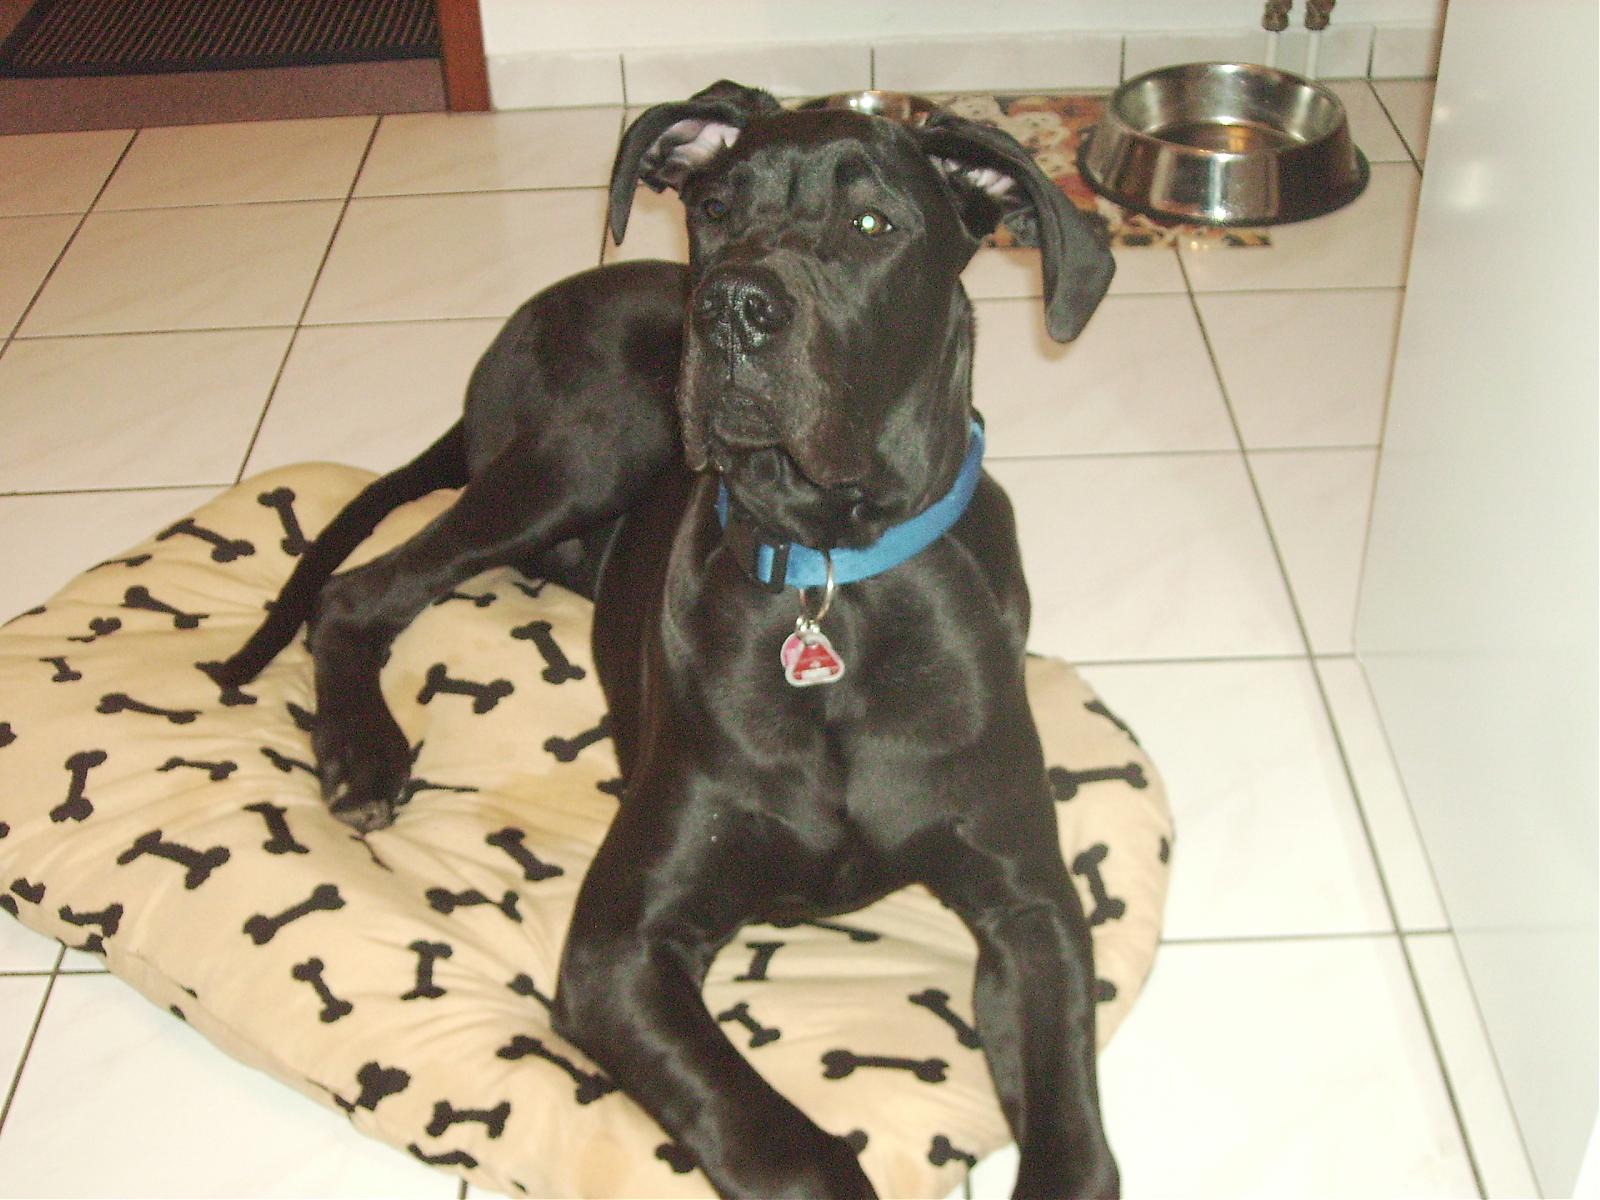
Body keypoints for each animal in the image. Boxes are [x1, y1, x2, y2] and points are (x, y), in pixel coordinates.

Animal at [220, 80, 1118, 1199]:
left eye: (874, 226)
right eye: (718, 207)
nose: (730, 307)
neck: (829, 573)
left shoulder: (1033, 910)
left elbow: (1073, 1148)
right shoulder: (619, 947)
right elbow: (790, 1148)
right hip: (587, 452)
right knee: (358, 592)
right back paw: (362, 756)